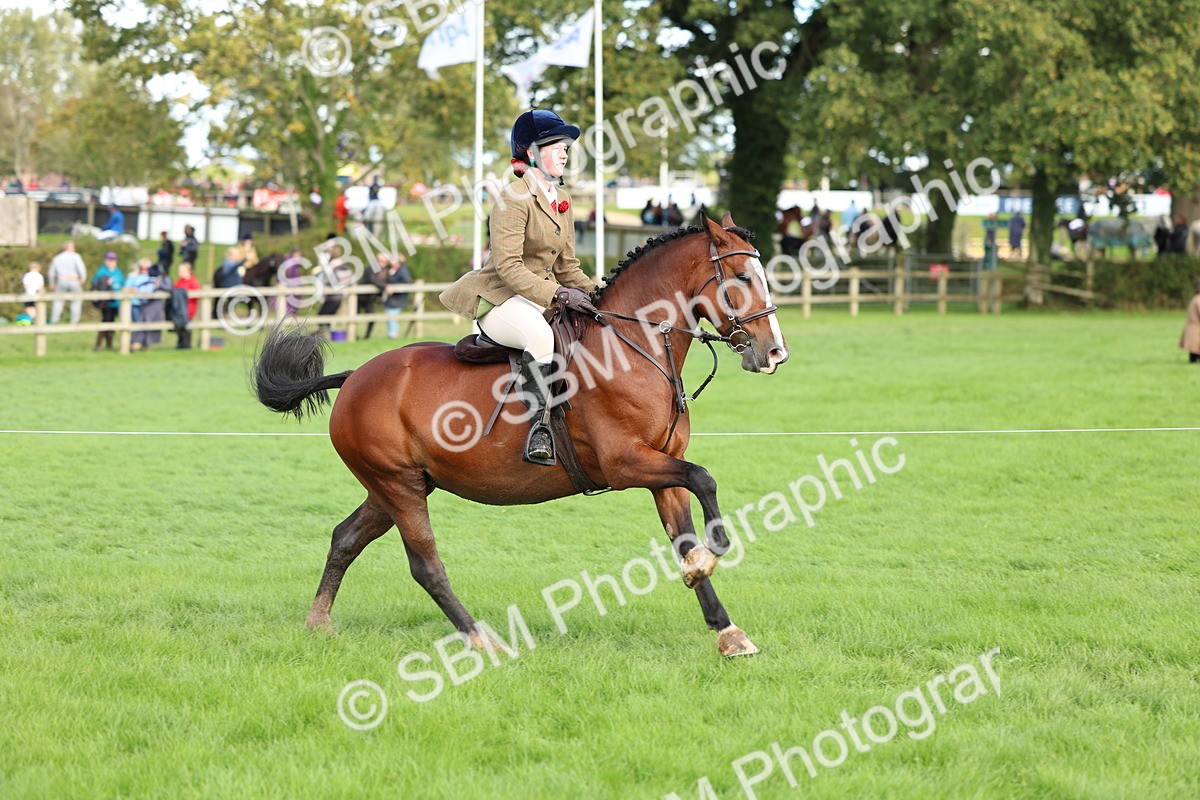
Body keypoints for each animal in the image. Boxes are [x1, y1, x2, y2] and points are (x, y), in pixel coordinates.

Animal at [252, 213, 789, 658]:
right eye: (742, 278)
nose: (774, 353)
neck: (633, 345)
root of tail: (354, 377)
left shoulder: (660, 465)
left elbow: (683, 530)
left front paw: (725, 628)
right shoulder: (626, 462)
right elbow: (705, 479)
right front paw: (710, 556)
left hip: (397, 486)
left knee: (345, 538)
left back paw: (319, 623)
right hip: (398, 485)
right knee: (425, 566)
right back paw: (481, 639)